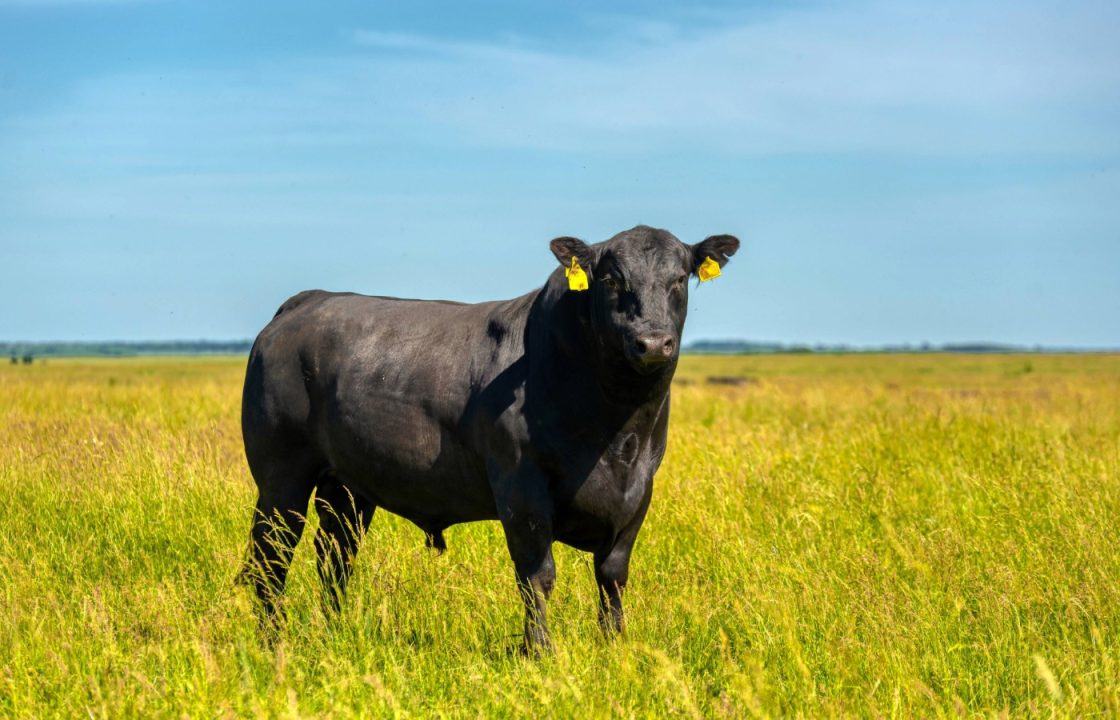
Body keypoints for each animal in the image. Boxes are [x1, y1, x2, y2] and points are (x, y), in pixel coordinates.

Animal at [238, 225, 740, 653]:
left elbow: (613, 575)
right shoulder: (521, 488)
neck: (617, 433)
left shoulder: (639, 491)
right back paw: (271, 643)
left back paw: (333, 632)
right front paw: (539, 652)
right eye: (612, 279)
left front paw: (614, 647)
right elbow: (537, 576)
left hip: (347, 487)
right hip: (281, 477)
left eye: (679, 279)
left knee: (335, 556)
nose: (652, 343)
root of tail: (308, 301)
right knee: (271, 557)